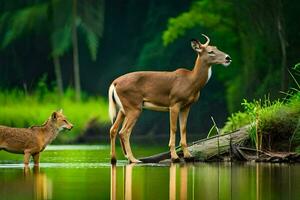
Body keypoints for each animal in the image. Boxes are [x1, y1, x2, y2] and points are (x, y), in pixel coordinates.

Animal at [108, 33, 232, 163]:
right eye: (210, 51)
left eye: (217, 48)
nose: (228, 58)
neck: (191, 81)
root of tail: (114, 83)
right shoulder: (174, 103)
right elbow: (174, 128)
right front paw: (174, 157)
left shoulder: (186, 106)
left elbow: (183, 128)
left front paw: (188, 155)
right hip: (134, 106)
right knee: (124, 131)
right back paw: (133, 159)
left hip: (123, 108)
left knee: (113, 129)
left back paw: (114, 159)